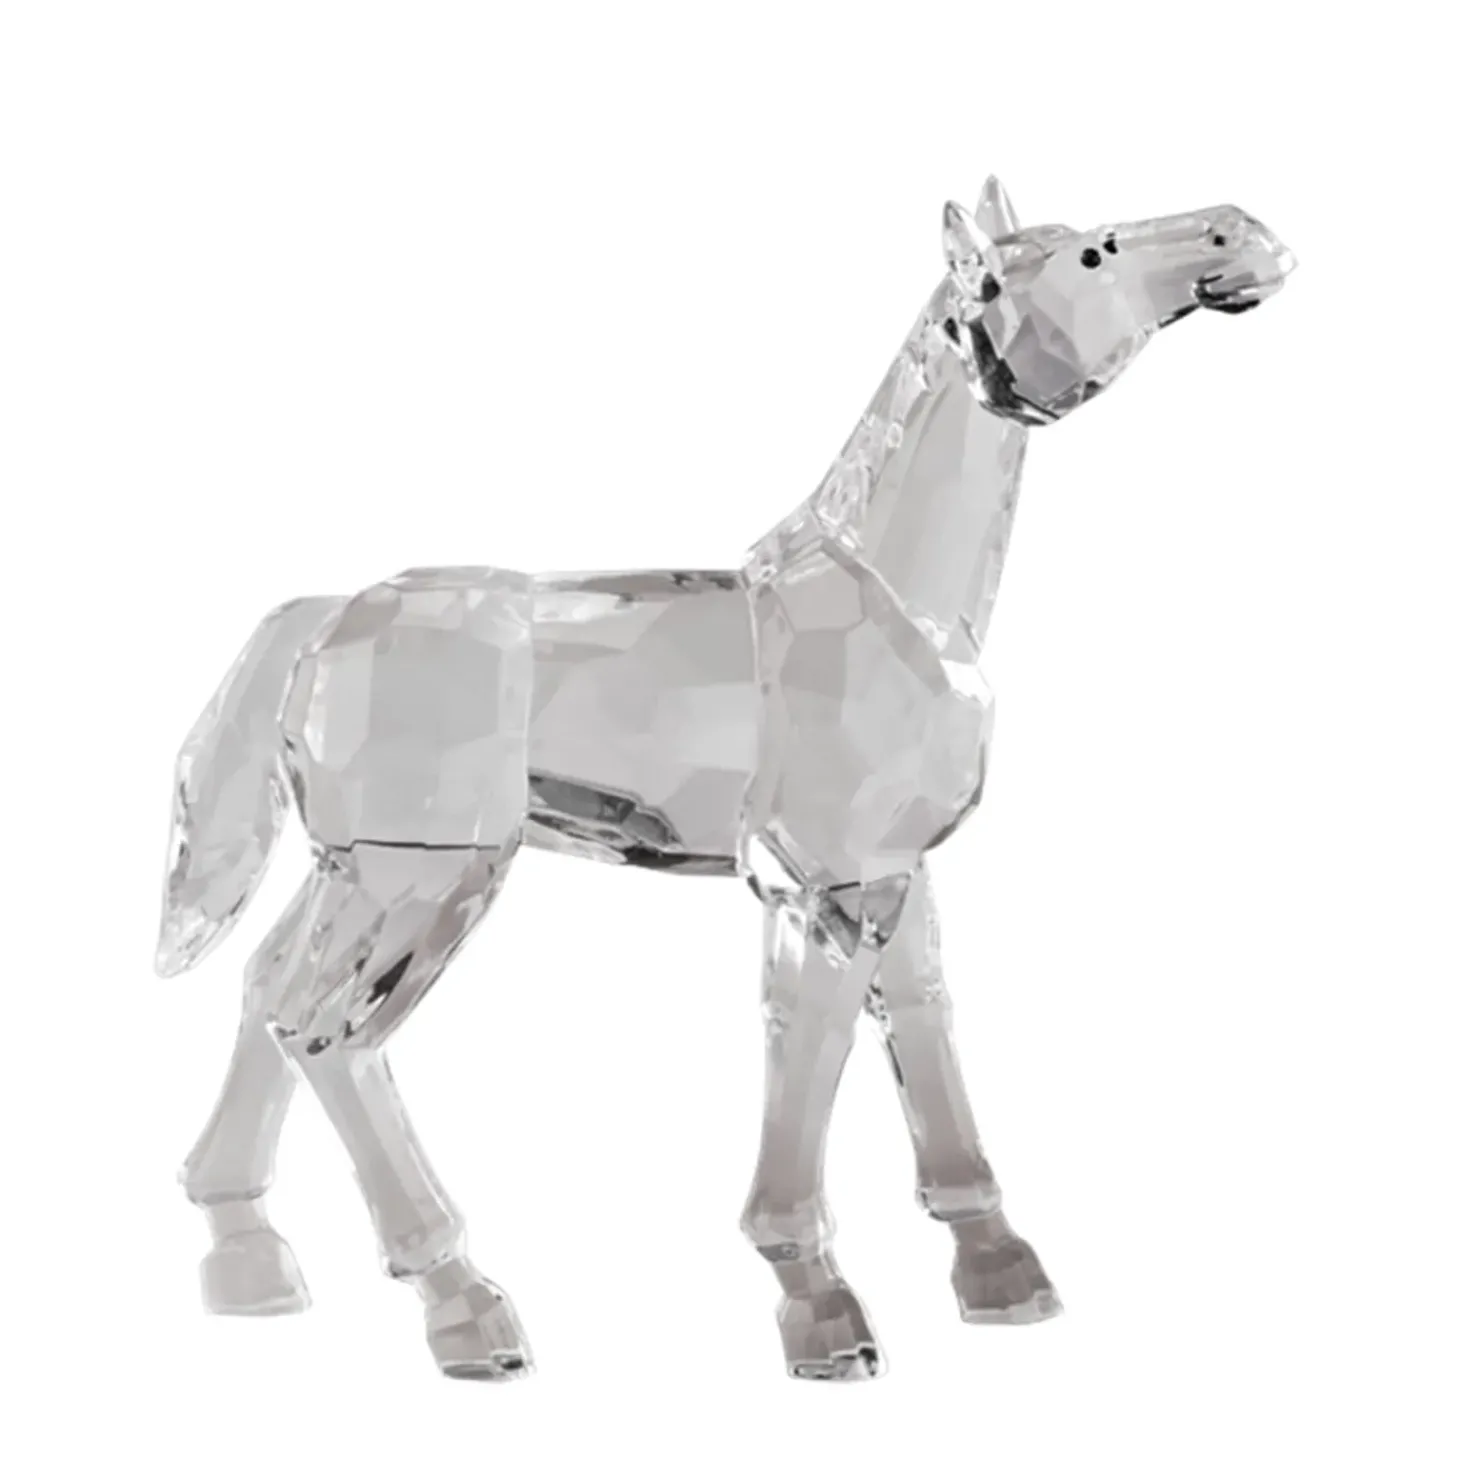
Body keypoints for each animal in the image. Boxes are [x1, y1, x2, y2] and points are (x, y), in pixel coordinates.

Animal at [156, 177, 1294, 1380]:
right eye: (1091, 254)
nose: (1242, 235)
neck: (900, 605)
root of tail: (324, 618)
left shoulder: (901, 874)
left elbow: (921, 1022)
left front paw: (998, 1273)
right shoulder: (826, 884)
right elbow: (812, 1039)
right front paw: (820, 1309)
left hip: (353, 870)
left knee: (264, 991)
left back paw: (247, 1260)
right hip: (422, 877)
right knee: (327, 1031)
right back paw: (466, 1309)